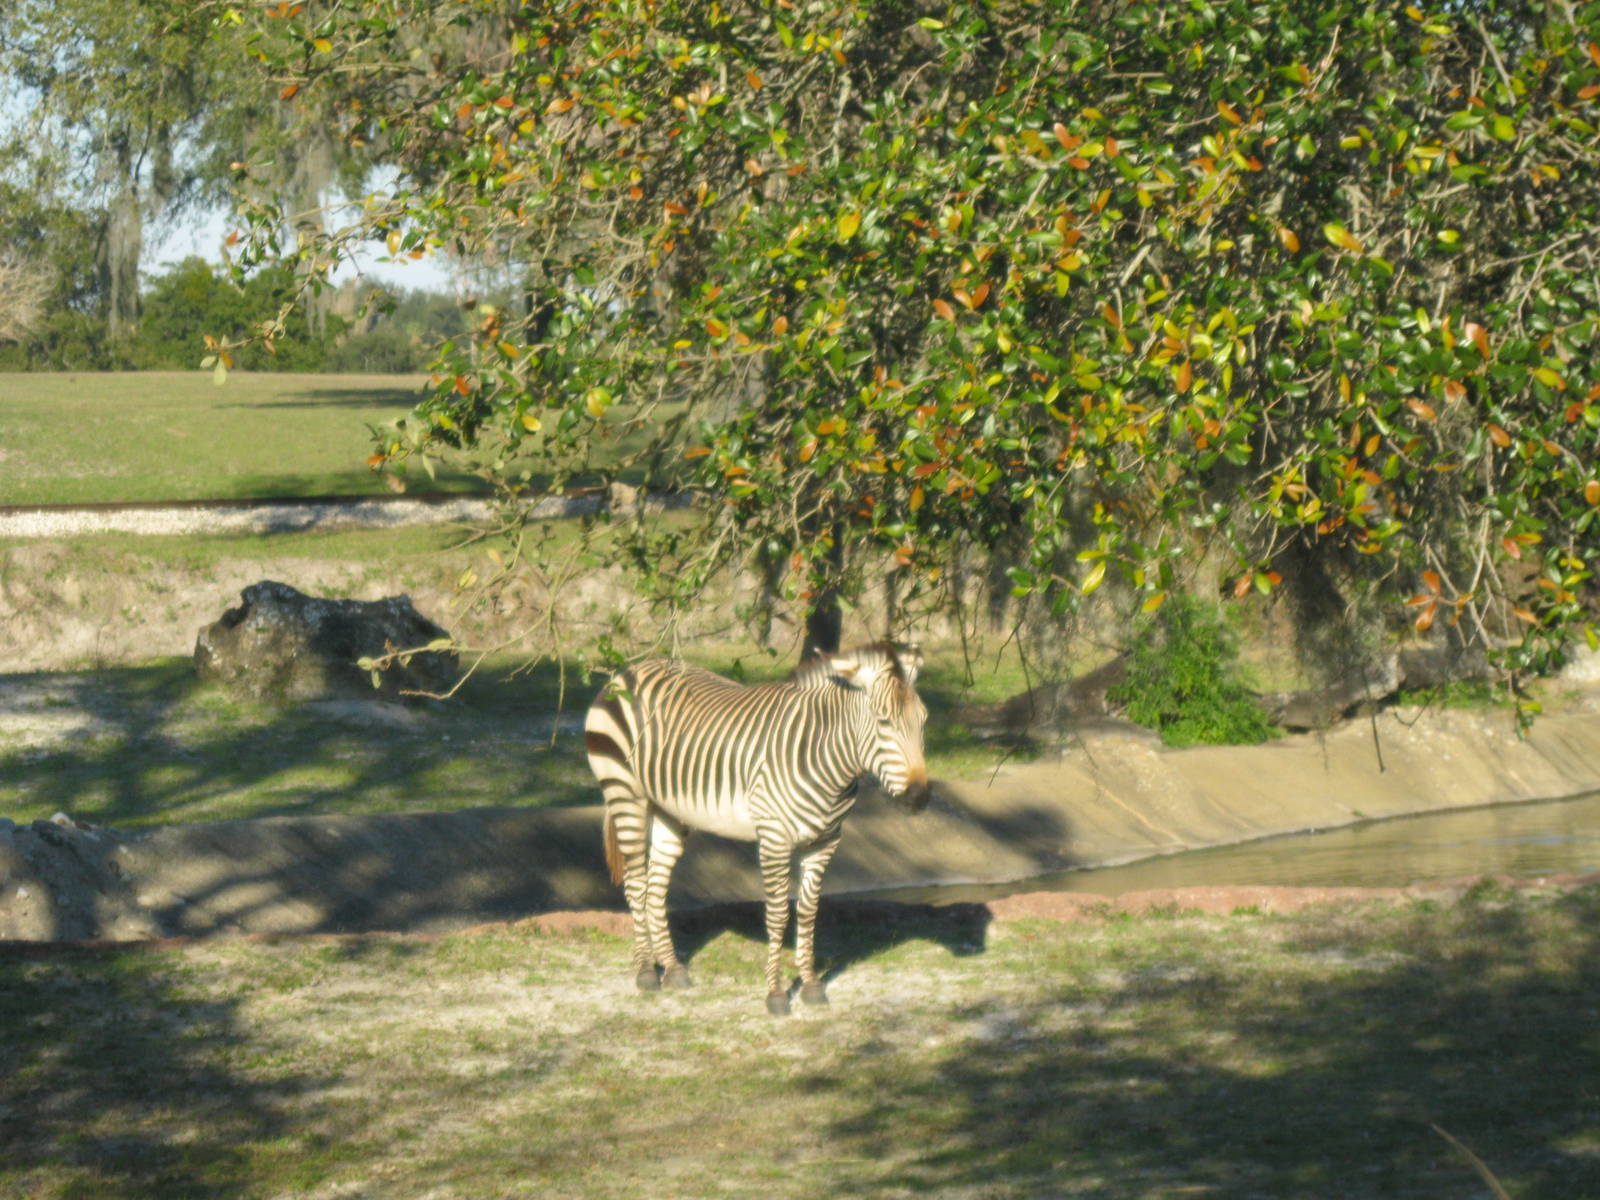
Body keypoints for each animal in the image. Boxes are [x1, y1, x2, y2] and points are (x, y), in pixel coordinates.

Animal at [584, 641, 930, 1014]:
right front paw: (776, 994)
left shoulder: (825, 841)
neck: (828, 762)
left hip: (668, 810)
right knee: (636, 882)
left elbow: (808, 913)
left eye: (923, 721)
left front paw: (811, 985)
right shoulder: (774, 837)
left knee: (656, 886)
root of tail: (630, 670)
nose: (919, 797)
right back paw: (647, 972)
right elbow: (777, 914)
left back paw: (673, 968)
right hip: (625, 793)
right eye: (884, 722)